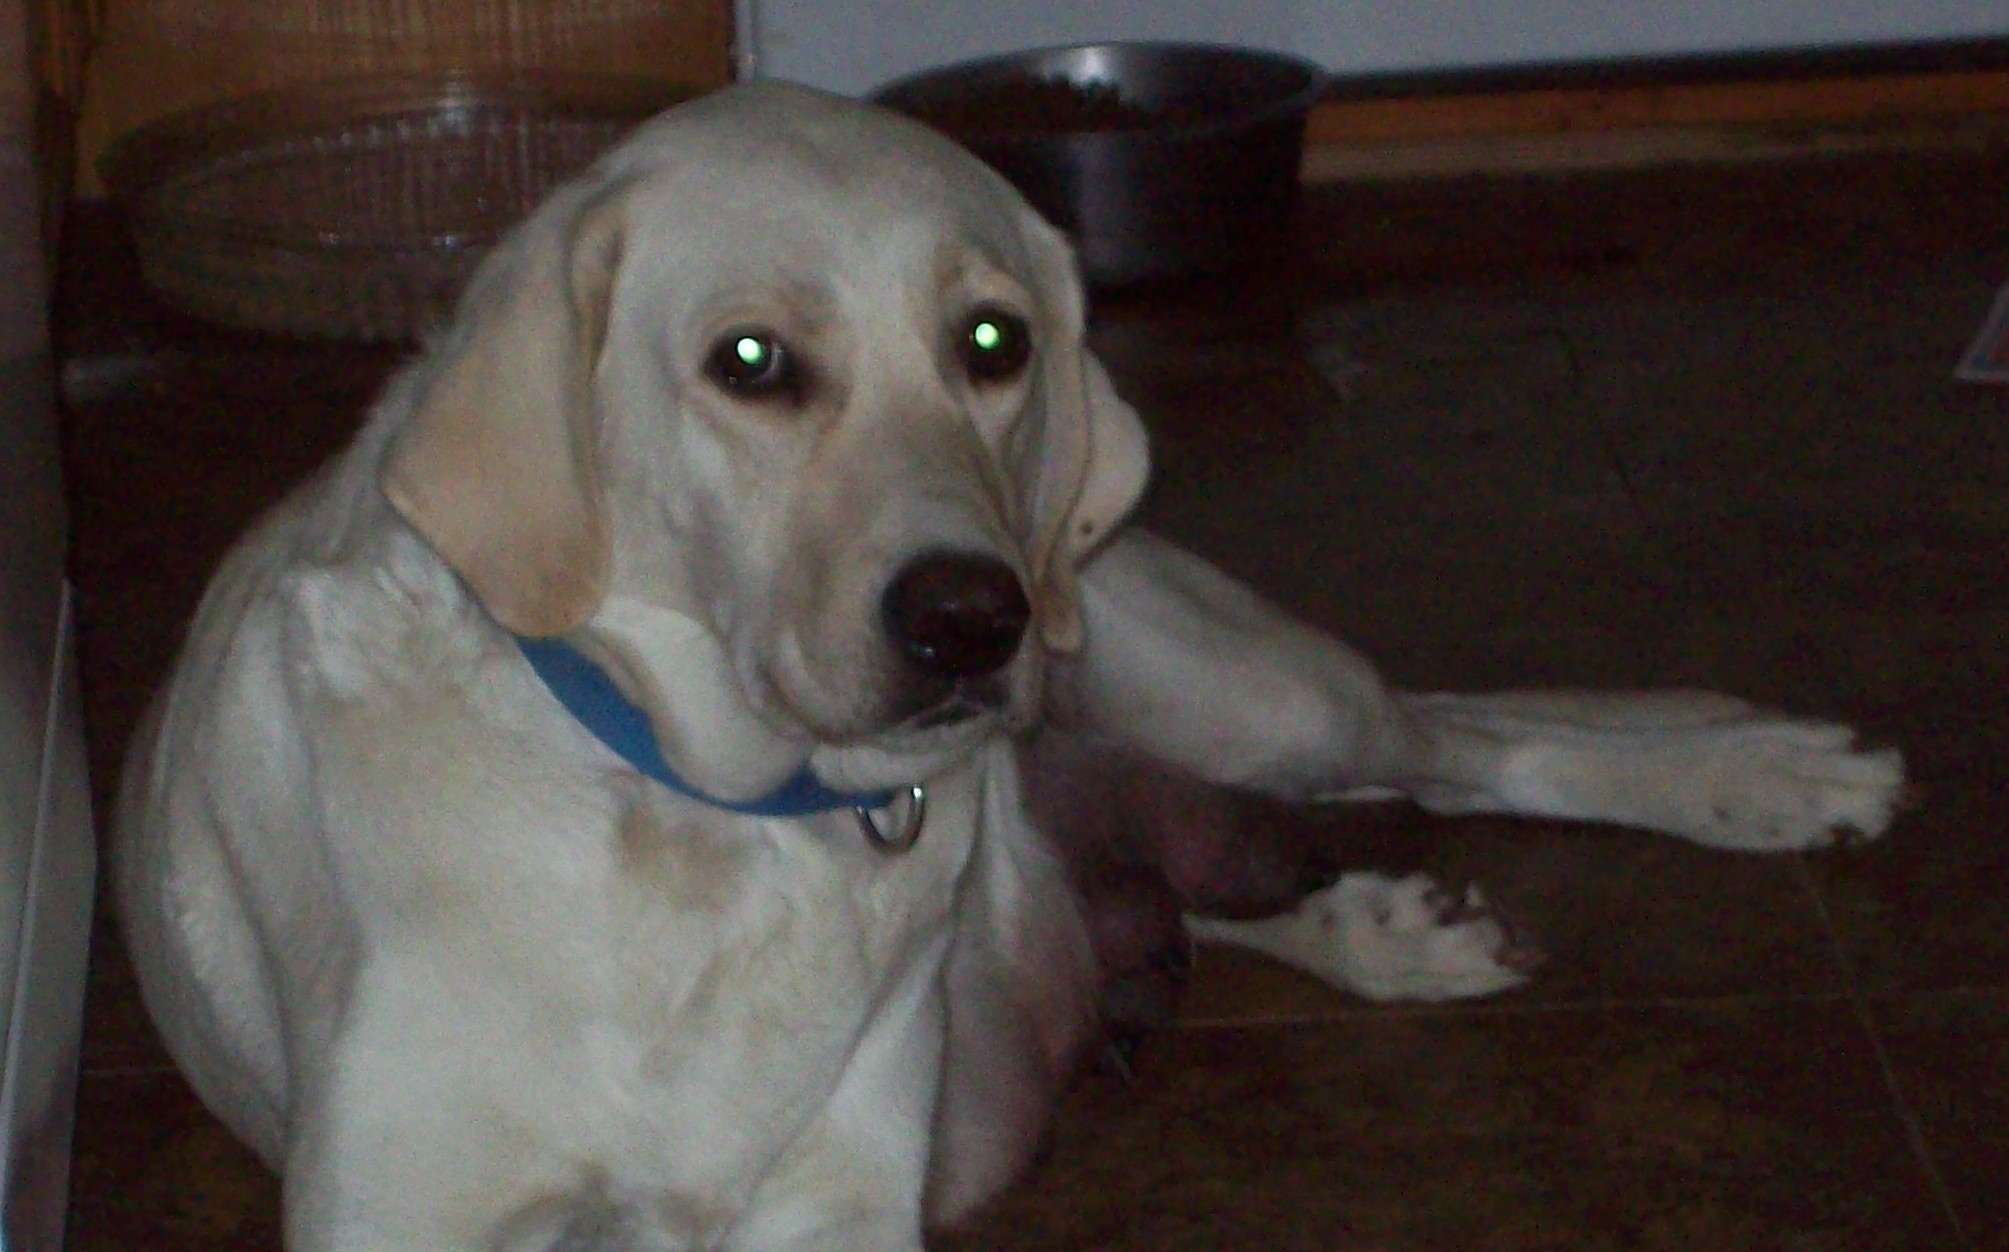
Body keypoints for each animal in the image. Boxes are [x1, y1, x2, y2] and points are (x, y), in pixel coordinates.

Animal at [114, 82, 1905, 1251]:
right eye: (749, 362)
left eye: (994, 343)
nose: (968, 619)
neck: (699, 813)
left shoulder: (833, 1203)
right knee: (1217, 871)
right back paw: (1378, 925)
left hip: (1231, 689)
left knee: (1460, 735)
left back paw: (1764, 774)